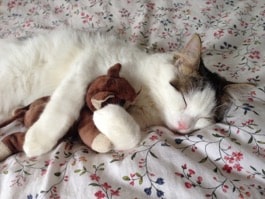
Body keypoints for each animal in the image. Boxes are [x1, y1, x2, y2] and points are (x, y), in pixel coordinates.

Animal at [0, 29, 233, 157]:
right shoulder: (89, 66)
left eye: (203, 119)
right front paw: (39, 139)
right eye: (184, 99)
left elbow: (131, 137)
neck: (147, 100)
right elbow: (64, 106)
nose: (184, 127)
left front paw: (104, 114)